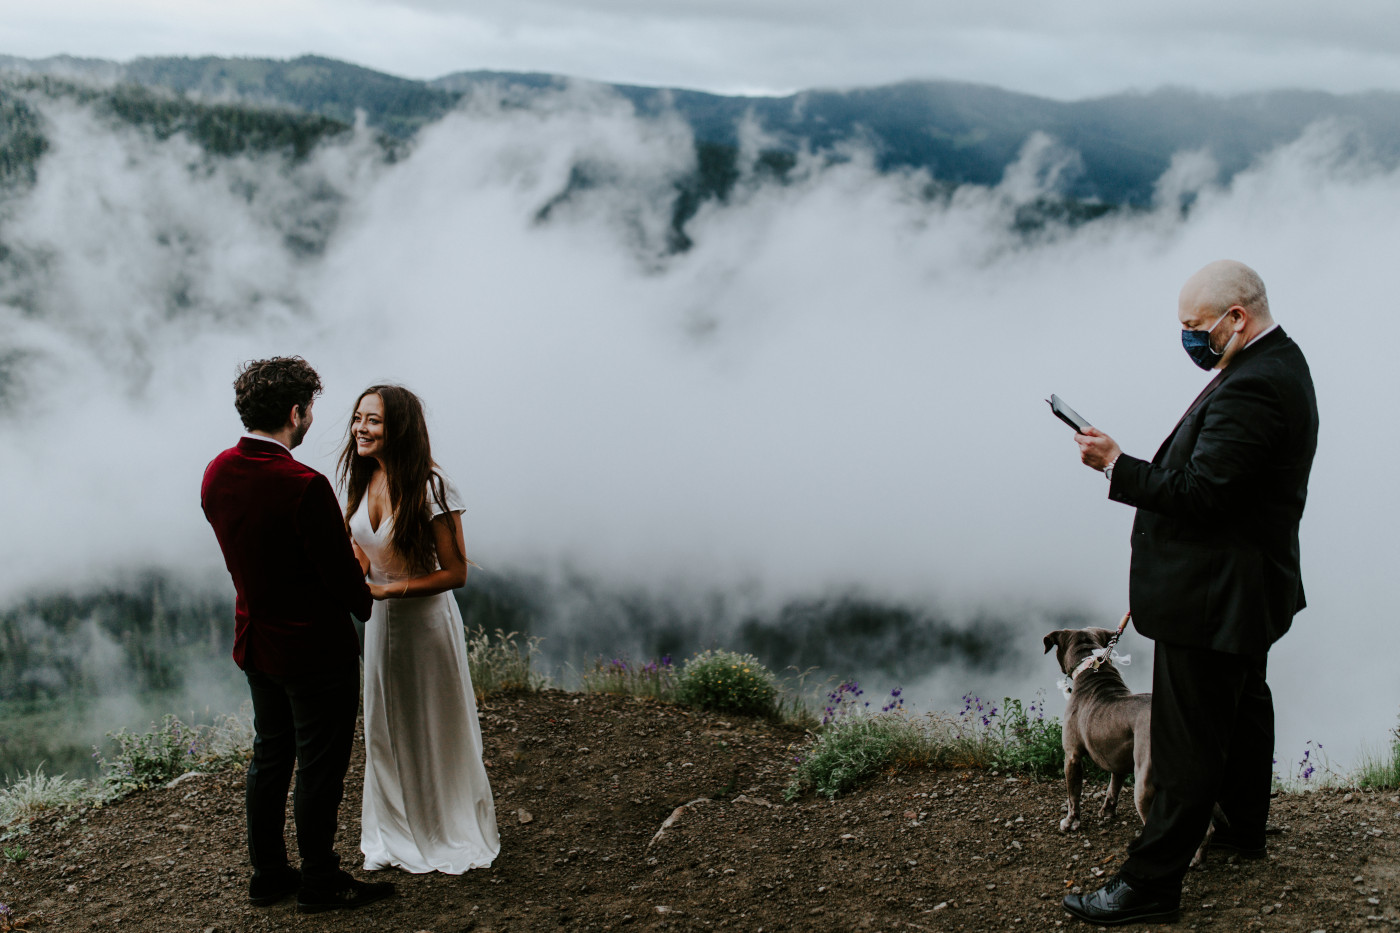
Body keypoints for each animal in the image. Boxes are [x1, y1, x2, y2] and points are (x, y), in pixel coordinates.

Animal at [1047, 627, 1153, 829]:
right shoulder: (1117, 758)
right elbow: (1114, 787)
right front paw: (1107, 812)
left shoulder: (1072, 756)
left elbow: (1073, 796)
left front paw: (1070, 822)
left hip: (1144, 785)